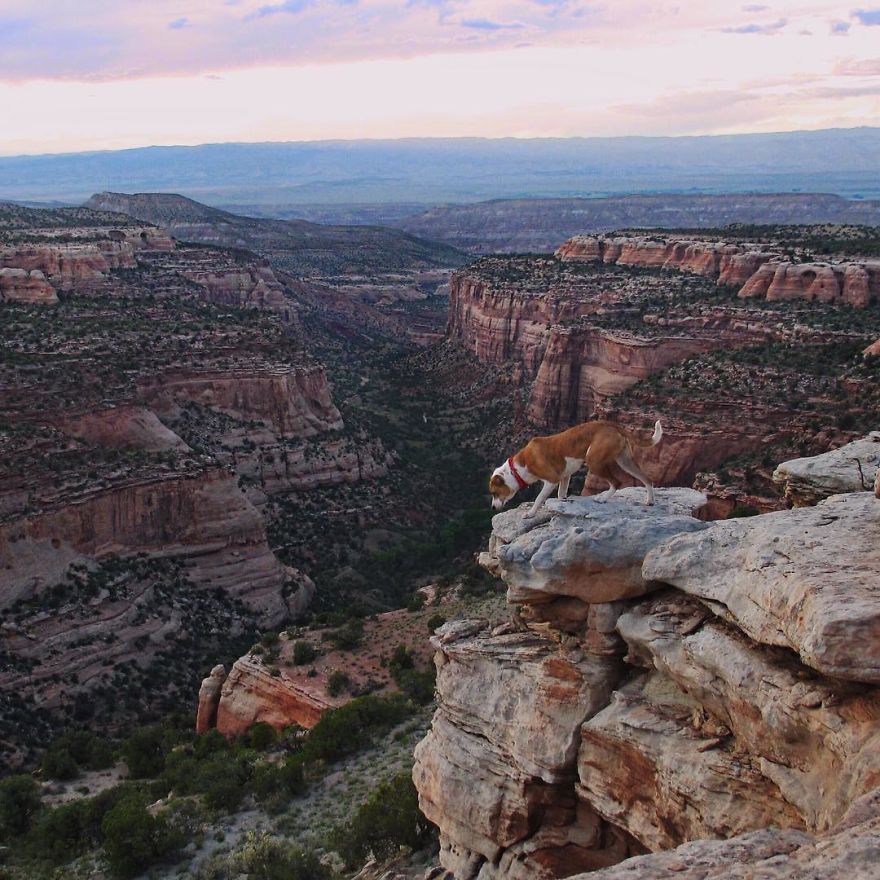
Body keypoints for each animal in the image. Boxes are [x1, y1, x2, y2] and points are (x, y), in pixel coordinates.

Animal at [488, 420, 660, 516]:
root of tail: (613, 425)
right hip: (625, 460)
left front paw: (530, 514)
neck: (517, 468)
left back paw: (602, 499)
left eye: (494, 493)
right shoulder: (565, 476)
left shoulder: (552, 480)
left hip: (594, 461)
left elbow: (539, 498)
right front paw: (563, 501)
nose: (493, 508)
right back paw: (650, 501)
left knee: (616, 482)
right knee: (647, 479)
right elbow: (561, 494)